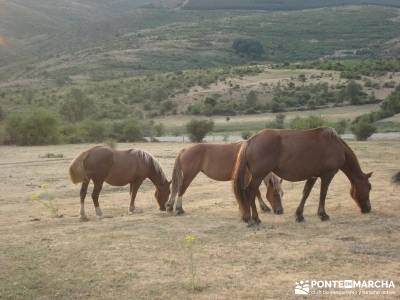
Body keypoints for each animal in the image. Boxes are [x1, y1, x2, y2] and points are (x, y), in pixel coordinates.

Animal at [233, 127, 374, 225]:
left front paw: (299, 215)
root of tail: (250, 140)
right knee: (250, 192)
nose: (368, 208)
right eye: (369, 187)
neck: (335, 144)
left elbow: (306, 193)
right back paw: (255, 219)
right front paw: (323, 215)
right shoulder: (327, 175)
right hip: (258, 175)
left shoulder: (313, 176)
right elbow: (323, 193)